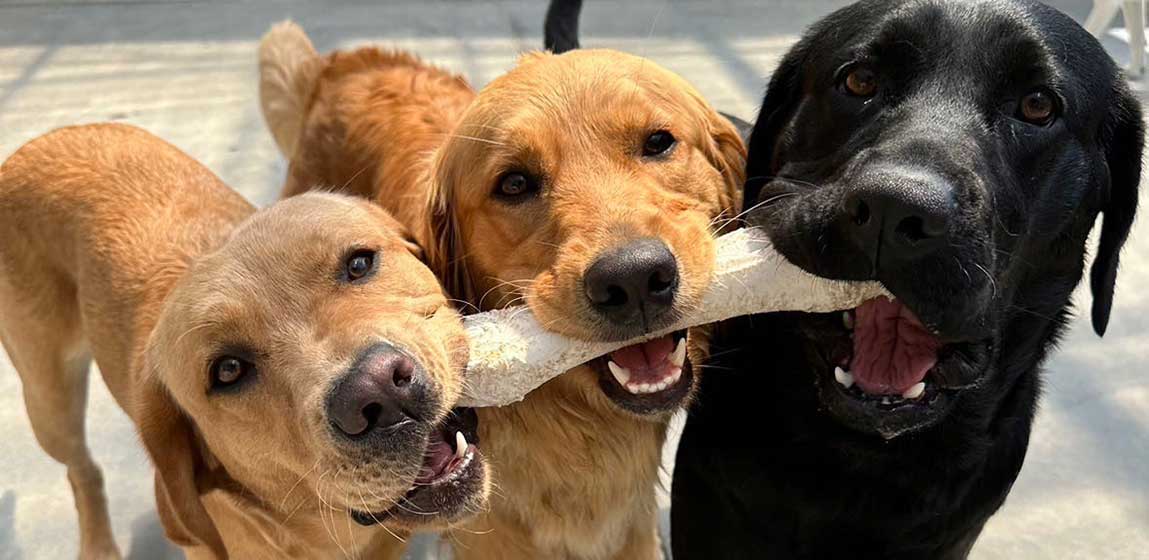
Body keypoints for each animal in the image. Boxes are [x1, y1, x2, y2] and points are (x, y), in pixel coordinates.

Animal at [0, 124, 487, 558]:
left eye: (359, 263)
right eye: (228, 370)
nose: (378, 391)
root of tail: (37, 143)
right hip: (50, 406)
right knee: (81, 470)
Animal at [260, 25, 744, 560]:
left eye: (658, 142)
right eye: (514, 183)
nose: (634, 278)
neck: (574, 421)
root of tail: (341, 64)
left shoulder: (629, 532)